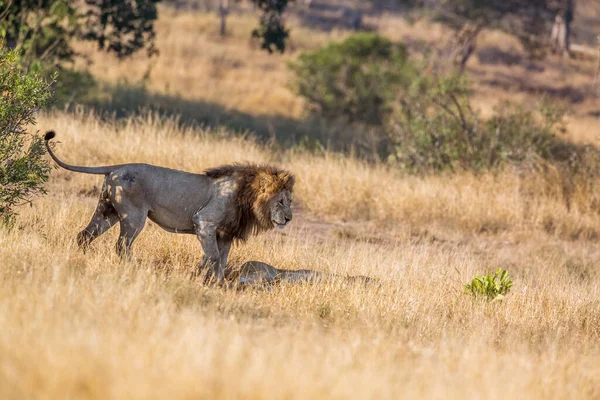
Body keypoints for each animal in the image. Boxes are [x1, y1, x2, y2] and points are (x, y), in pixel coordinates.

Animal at [43, 131, 294, 282]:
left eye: (290, 201)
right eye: (281, 202)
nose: (289, 218)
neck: (247, 197)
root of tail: (117, 167)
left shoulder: (226, 234)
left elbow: (221, 261)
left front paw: (218, 284)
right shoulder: (204, 221)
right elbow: (212, 256)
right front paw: (199, 276)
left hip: (107, 212)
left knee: (84, 235)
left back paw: (81, 258)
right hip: (134, 217)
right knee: (122, 245)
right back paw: (133, 269)